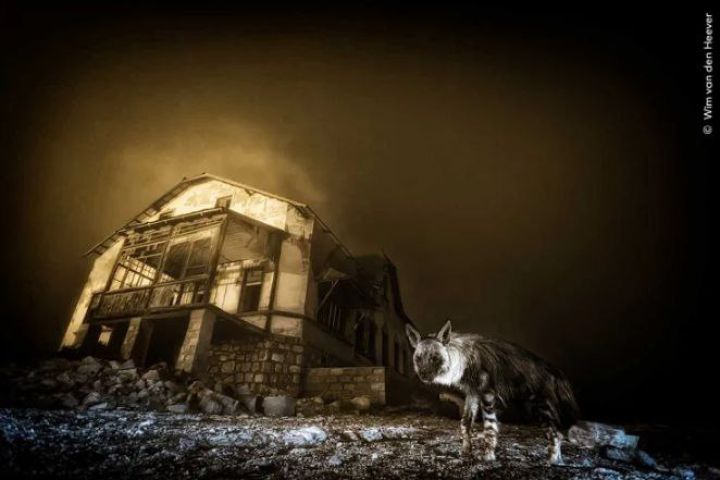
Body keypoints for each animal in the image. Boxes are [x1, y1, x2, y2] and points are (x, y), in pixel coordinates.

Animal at [406, 320, 579, 465]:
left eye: (435, 358)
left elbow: (489, 427)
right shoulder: (472, 393)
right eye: (419, 358)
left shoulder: (487, 395)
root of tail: (554, 369)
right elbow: (465, 423)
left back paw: (552, 461)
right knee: (558, 434)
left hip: (540, 407)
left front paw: (488, 456)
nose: (423, 375)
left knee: (555, 434)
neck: (463, 360)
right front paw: (466, 452)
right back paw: (558, 461)